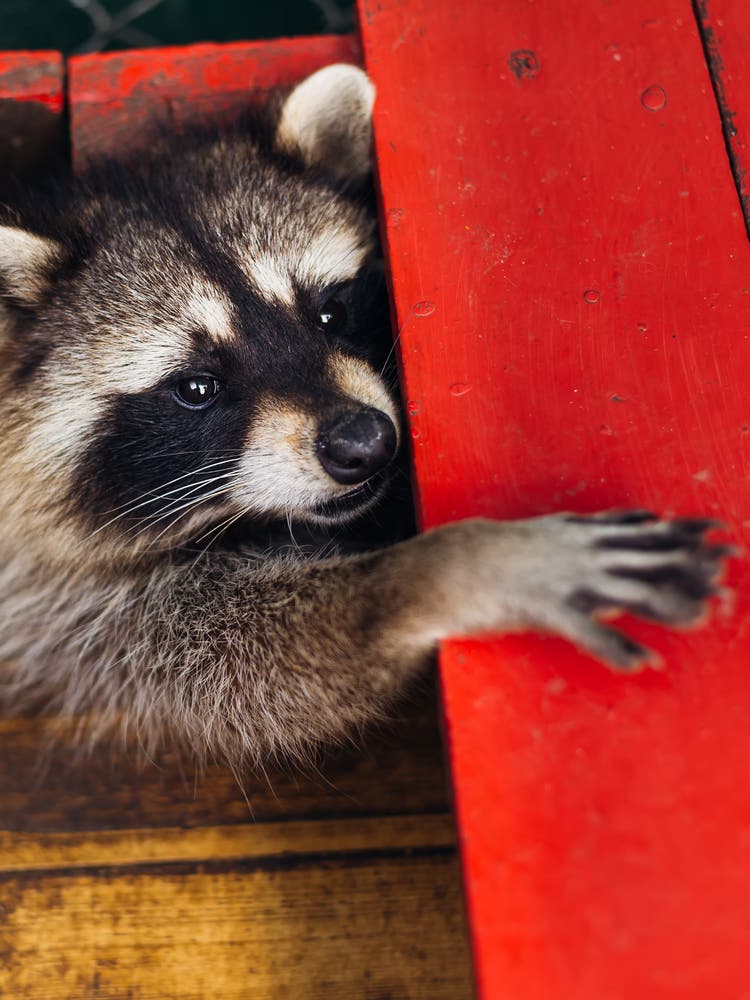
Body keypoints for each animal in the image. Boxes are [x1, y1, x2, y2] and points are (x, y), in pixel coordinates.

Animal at [0, 64, 732, 764]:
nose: (364, 443)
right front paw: (441, 570)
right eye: (197, 387)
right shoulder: (53, 599)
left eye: (330, 311)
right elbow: (219, 664)